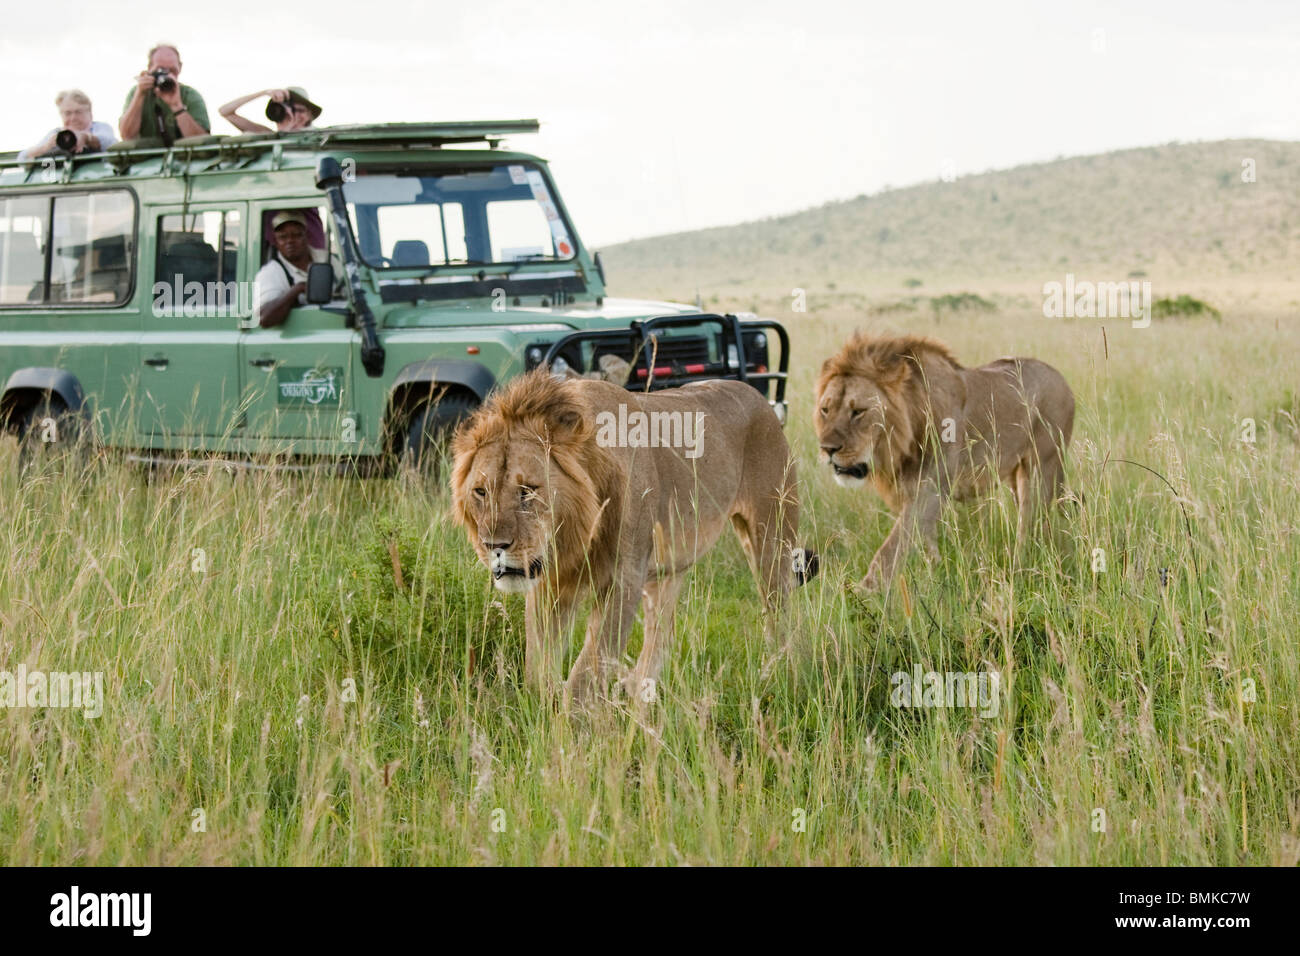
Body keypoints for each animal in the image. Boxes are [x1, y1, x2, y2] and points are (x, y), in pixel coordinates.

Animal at [811, 332, 1076, 595]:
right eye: (825, 409)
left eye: (858, 412)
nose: (827, 449)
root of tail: (1062, 379)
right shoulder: (909, 491)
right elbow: (924, 543)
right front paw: (936, 576)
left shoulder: (930, 489)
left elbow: (893, 546)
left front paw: (864, 593)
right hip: (1016, 476)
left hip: (1041, 469)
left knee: (1030, 524)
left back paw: (1020, 568)